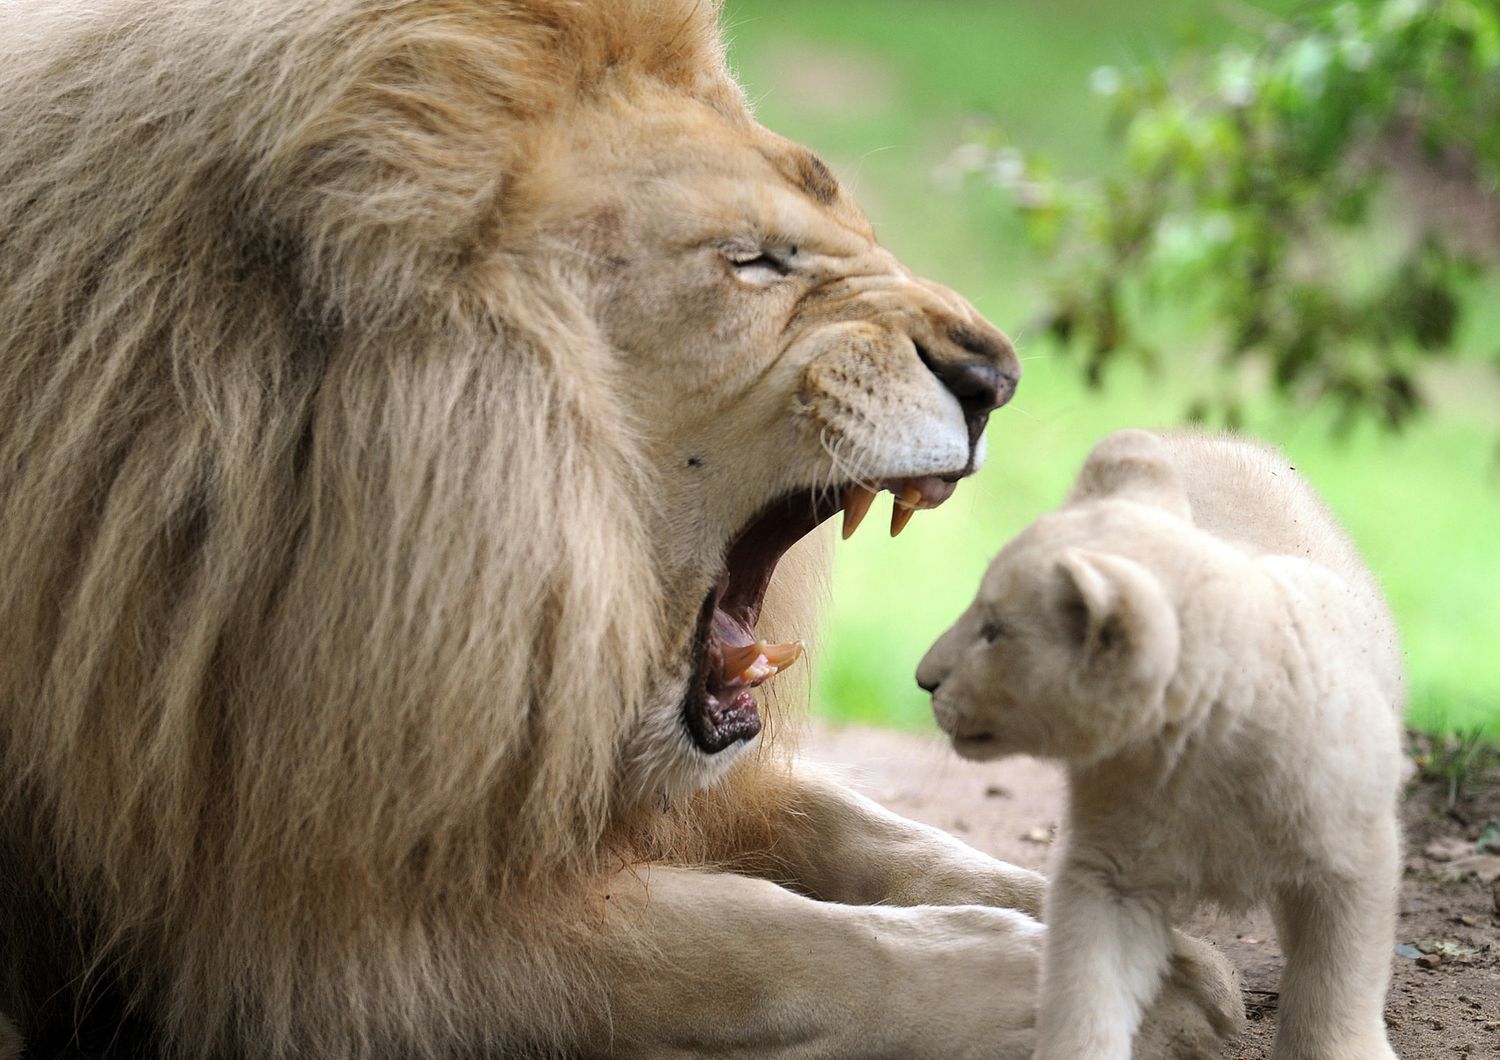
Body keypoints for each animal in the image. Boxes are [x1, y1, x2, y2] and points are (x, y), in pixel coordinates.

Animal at [2, 2, 1242, 1060]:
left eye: (846, 223)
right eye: (754, 259)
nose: (996, 377)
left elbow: (871, 831)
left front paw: (1136, 938)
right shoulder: (307, 933)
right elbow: (768, 944)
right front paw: (1115, 992)